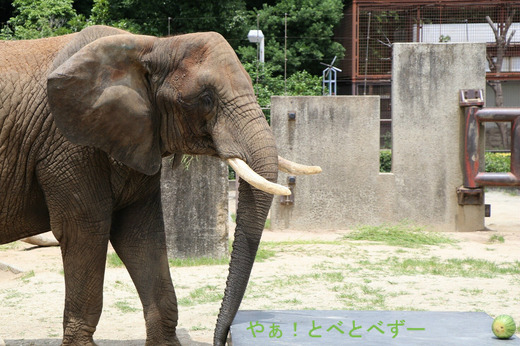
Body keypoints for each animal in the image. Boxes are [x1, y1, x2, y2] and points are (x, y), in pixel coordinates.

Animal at [0, 25, 318, 344]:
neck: (152, 46)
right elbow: (84, 229)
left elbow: (140, 234)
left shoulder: (137, 138)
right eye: (206, 99)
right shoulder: (67, 146)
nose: (224, 337)